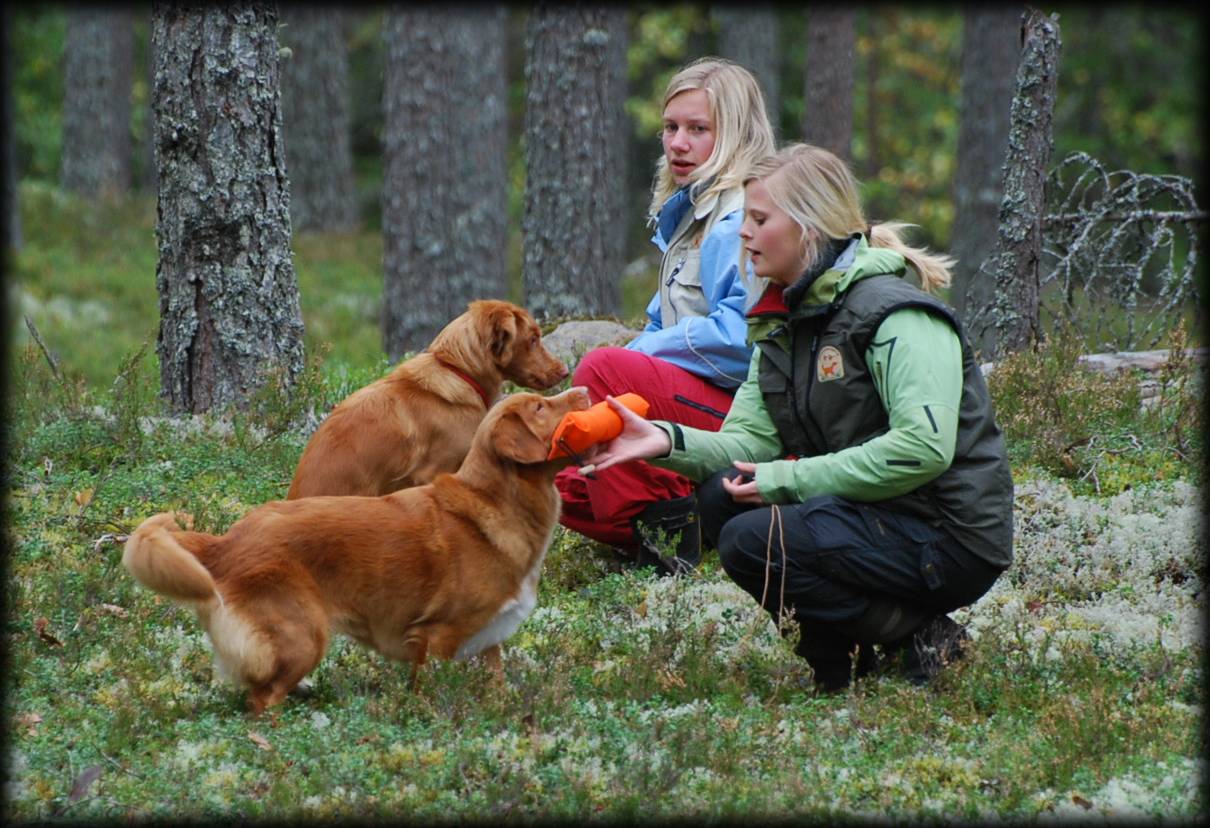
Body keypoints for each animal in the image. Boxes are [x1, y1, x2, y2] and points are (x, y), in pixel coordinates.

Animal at [122, 384, 590, 716]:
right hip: (303, 637)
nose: (585, 390)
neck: (497, 501)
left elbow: (497, 688)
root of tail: (224, 541)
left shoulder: (487, 641)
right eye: (541, 408)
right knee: (261, 701)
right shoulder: (436, 637)